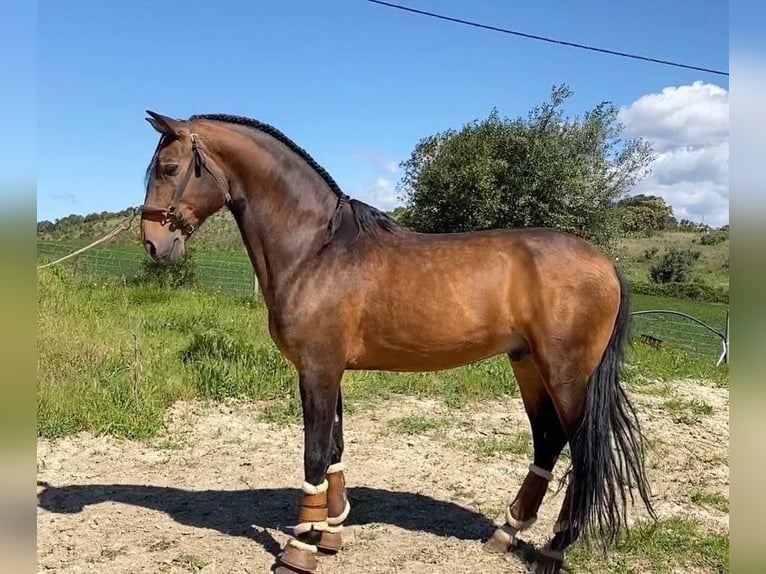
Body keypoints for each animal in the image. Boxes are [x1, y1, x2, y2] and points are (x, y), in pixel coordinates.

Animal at [138, 111, 656, 574]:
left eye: (169, 168)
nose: (152, 243)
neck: (317, 249)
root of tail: (607, 264)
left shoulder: (317, 370)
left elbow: (314, 453)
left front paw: (299, 551)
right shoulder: (329, 371)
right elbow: (335, 449)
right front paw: (330, 535)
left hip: (565, 373)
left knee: (583, 453)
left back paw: (553, 549)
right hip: (527, 363)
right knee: (548, 439)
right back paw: (506, 533)